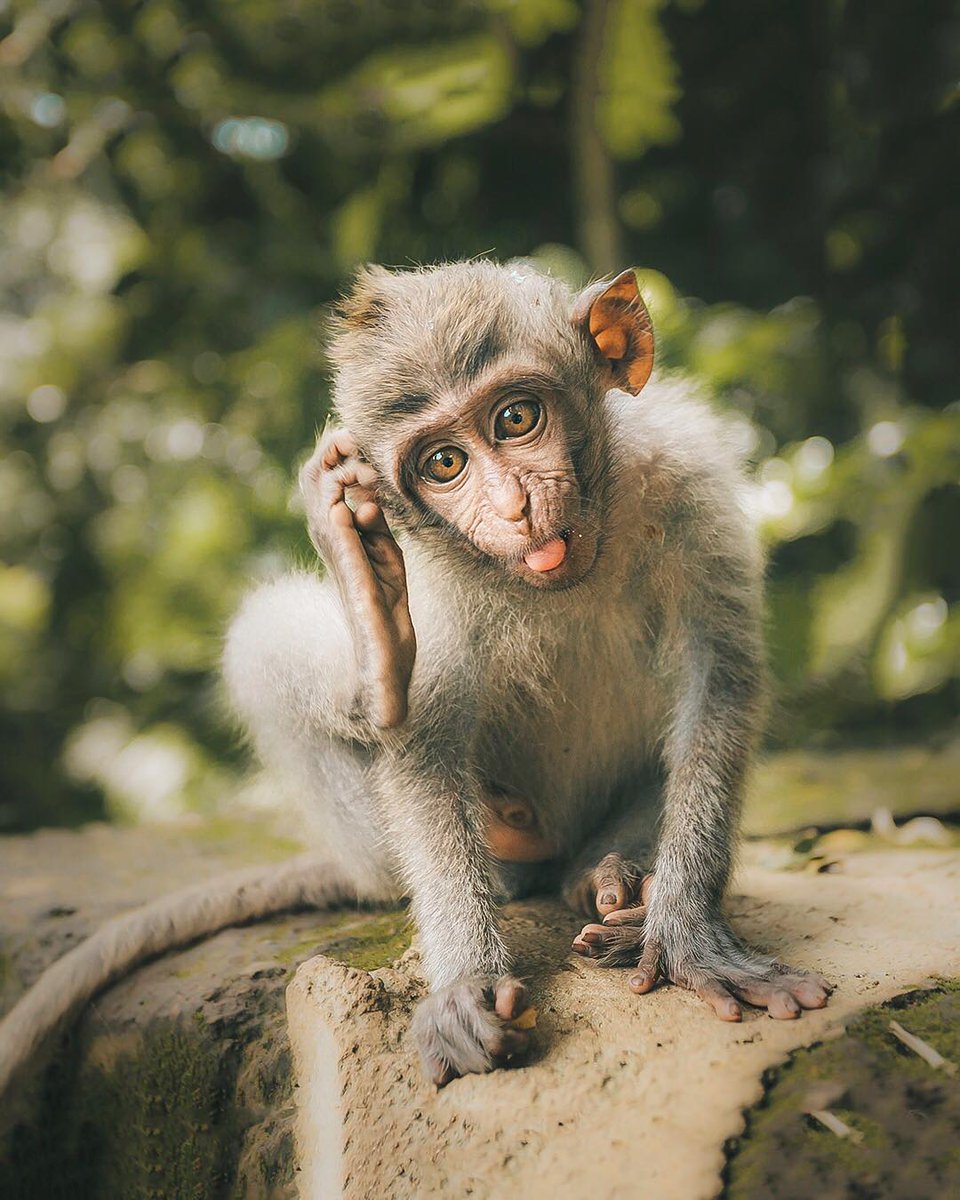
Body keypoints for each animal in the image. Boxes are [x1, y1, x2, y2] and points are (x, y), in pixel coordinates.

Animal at [0, 260, 830, 1097]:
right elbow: (424, 748)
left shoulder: (688, 481)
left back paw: (617, 873)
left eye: (517, 418)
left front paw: (688, 928)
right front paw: (467, 983)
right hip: (380, 846)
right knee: (270, 651)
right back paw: (380, 653)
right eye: (444, 465)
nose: (513, 506)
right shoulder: (439, 591)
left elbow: (718, 686)